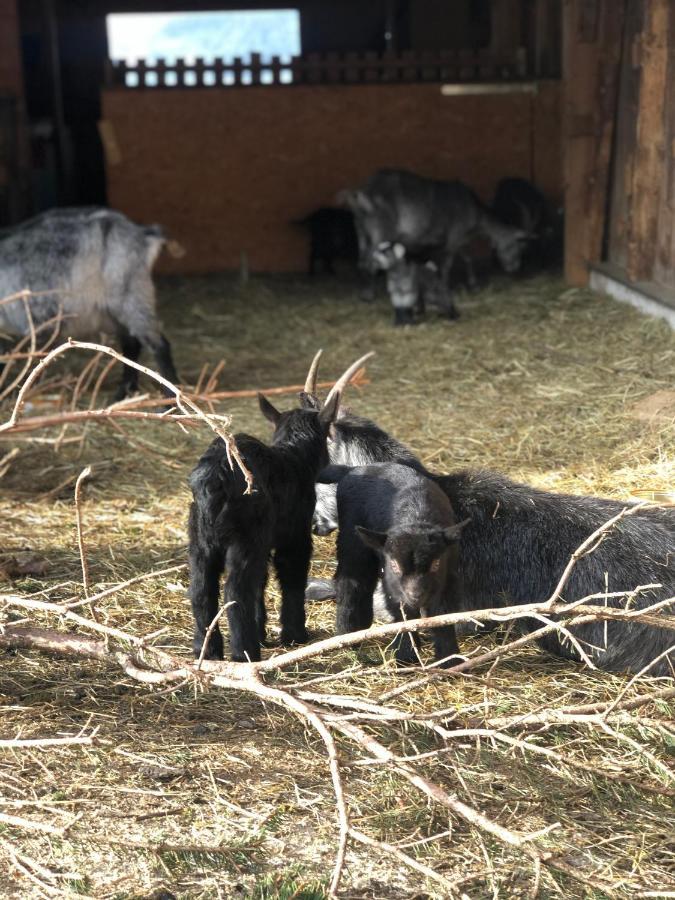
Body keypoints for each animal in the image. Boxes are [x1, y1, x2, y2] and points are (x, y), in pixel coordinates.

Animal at [187, 352, 372, 660]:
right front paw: (294, 635)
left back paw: (208, 651)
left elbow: (262, 581)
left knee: (202, 589)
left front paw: (263, 632)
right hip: (244, 538)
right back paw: (245, 653)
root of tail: (215, 477)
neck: (293, 457)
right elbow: (292, 575)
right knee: (235, 590)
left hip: (200, 539)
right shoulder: (295, 536)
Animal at [320, 468, 468, 664]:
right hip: (352, 541)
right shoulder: (393, 584)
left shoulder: (448, 579)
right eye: (395, 565)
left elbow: (443, 616)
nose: (416, 594)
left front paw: (450, 658)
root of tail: (355, 469)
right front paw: (406, 655)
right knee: (352, 582)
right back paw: (348, 635)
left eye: (436, 564)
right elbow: (401, 612)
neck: (416, 517)